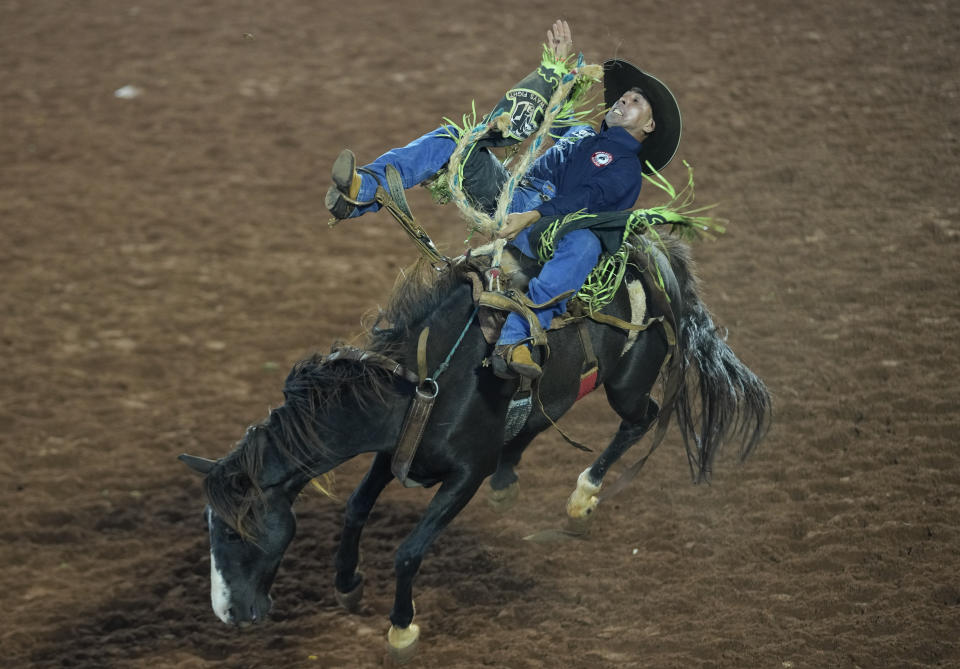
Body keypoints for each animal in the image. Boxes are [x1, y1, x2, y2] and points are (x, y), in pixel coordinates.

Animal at [176, 234, 768, 656]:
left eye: (233, 531)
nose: (227, 614)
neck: (425, 385)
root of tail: (659, 257)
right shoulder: (392, 453)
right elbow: (355, 508)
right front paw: (346, 583)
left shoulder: (463, 477)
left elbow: (410, 551)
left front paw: (402, 630)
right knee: (540, 420)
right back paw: (512, 477)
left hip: (627, 386)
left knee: (640, 420)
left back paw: (583, 497)